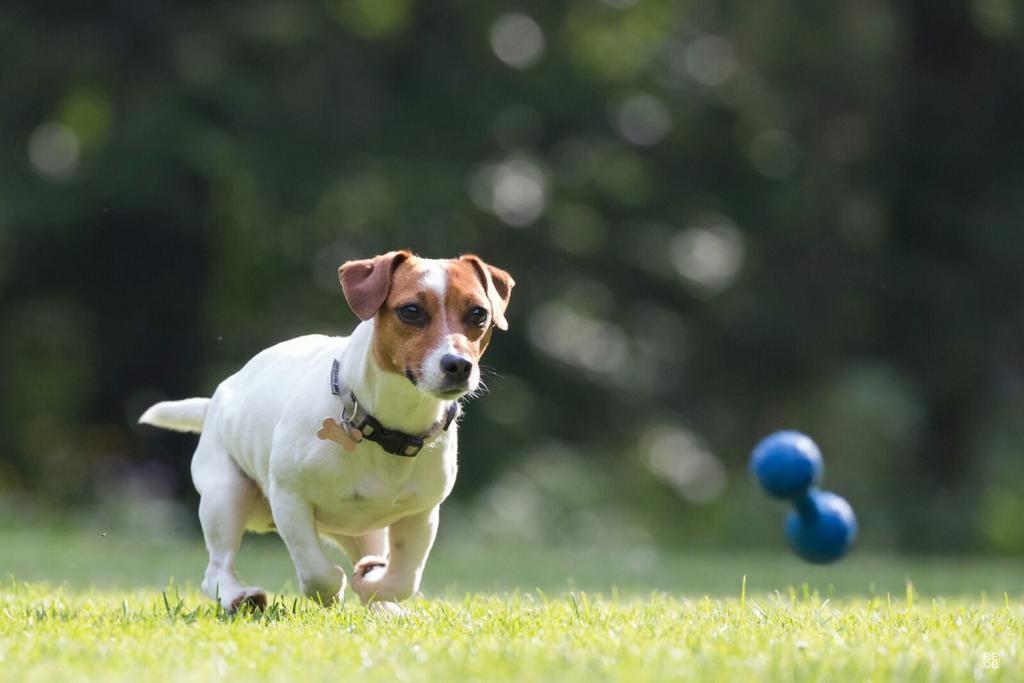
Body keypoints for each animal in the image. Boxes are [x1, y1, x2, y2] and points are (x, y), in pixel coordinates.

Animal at [140, 252, 516, 614]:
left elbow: (403, 579)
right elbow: (317, 571)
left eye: (478, 314)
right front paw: (333, 590)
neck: (386, 429)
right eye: (410, 311)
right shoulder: (289, 498)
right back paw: (238, 597)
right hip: (226, 495)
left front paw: (373, 582)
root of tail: (215, 401)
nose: (459, 365)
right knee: (216, 568)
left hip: (365, 530)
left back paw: (384, 606)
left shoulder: (420, 514)